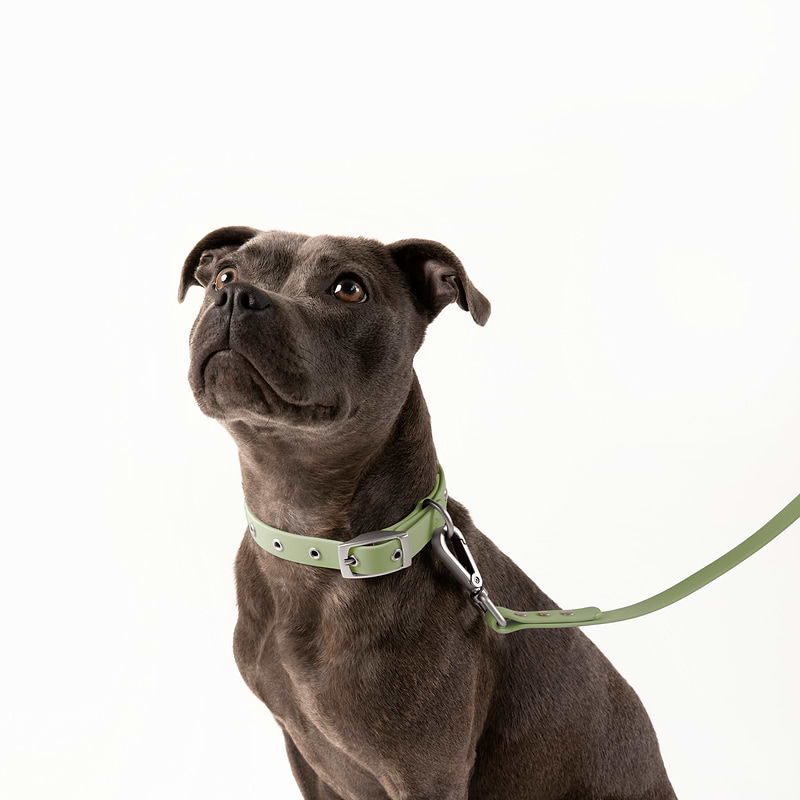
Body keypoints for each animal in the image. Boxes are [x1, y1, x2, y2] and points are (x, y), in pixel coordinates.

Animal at [180, 227, 676, 800]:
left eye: (348, 288)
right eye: (224, 274)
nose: (236, 296)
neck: (312, 542)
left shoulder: (426, 773)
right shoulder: (306, 754)